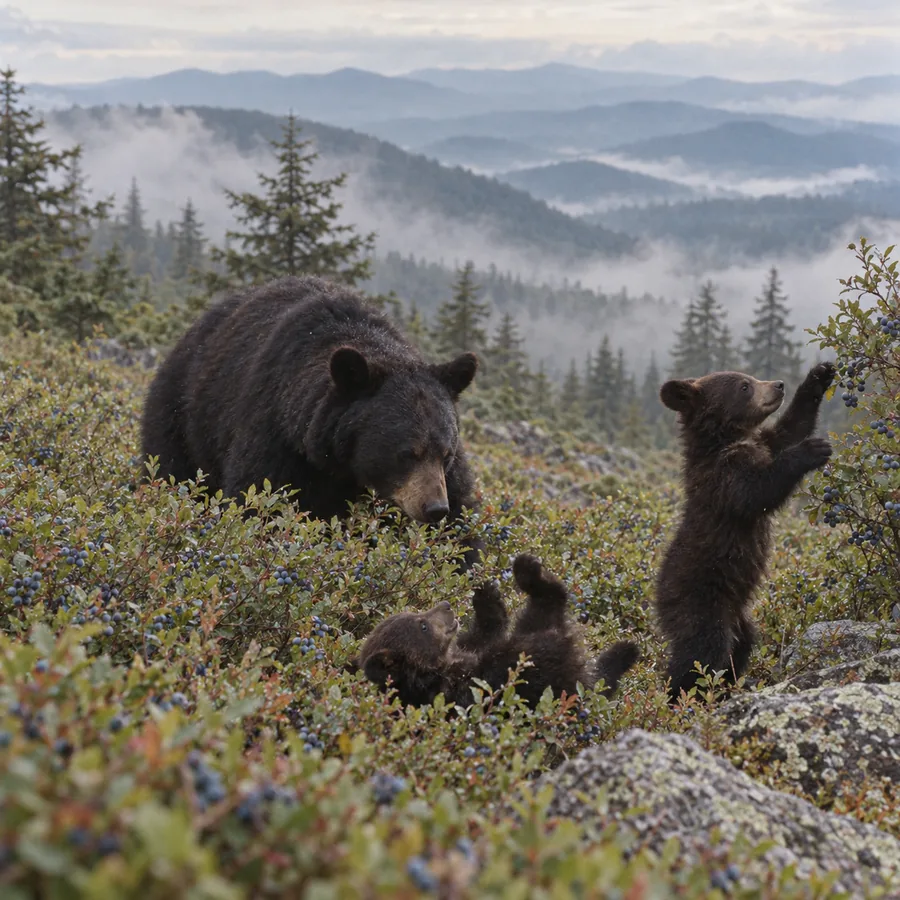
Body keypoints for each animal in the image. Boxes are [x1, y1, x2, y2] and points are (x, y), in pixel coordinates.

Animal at [140, 275, 482, 568]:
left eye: (446, 453)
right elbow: (261, 504)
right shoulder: (278, 437)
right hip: (182, 415)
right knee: (172, 472)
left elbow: (461, 525)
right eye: (406, 453)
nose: (434, 508)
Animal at [354, 553, 640, 709]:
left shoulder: (466, 649)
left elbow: (486, 632)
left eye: (416, 612)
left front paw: (486, 592)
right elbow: (508, 669)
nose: (446, 606)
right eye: (422, 625)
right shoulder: (459, 692)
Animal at [655, 362, 836, 702]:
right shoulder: (723, 478)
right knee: (702, 653)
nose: (778, 385)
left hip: (740, 617)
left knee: (741, 646)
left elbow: (790, 428)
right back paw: (680, 698)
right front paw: (813, 449)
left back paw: (728, 687)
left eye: (749, 377)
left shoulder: (762, 443)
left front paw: (819, 375)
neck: (726, 439)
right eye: (744, 386)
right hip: (699, 602)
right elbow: (757, 490)